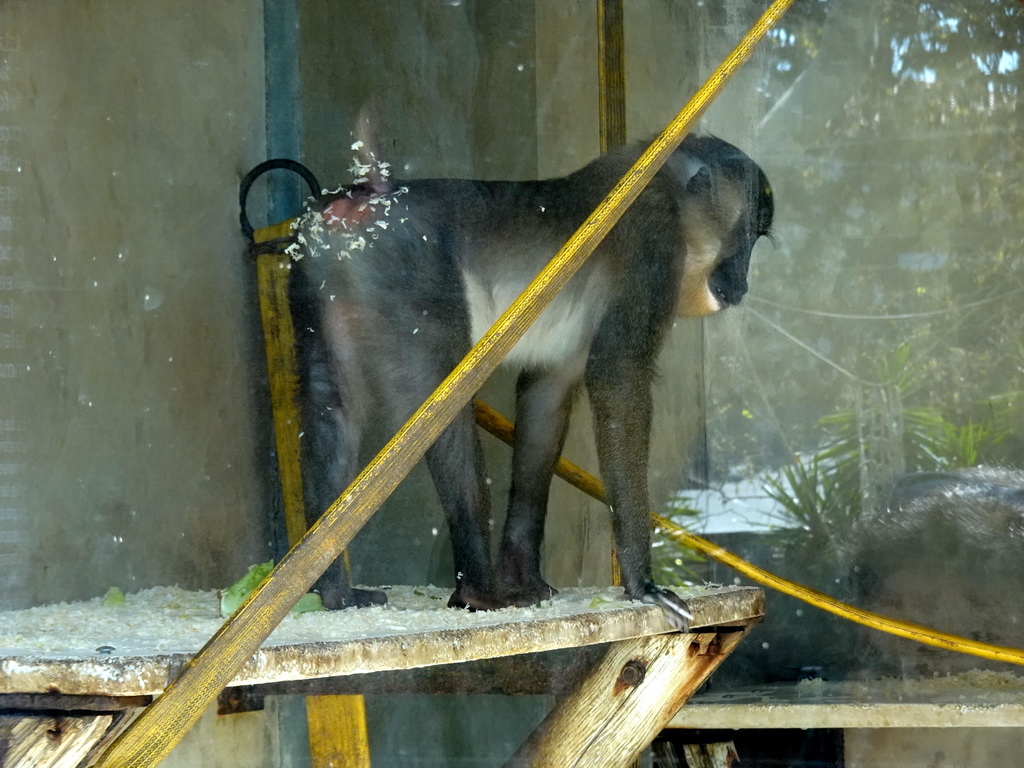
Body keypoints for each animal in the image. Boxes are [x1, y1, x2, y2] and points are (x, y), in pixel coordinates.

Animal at [284, 135, 770, 630]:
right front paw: (644, 584)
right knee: (441, 409)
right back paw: (477, 591)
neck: (669, 190)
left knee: (332, 407)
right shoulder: (651, 245)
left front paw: (525, 576)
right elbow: (618, 377)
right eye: (747, 233)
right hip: (409, 280)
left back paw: (334, 591)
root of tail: (346, 207)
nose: (743, 282)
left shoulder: (561, 363)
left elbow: (545, 399)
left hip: (319, 286)